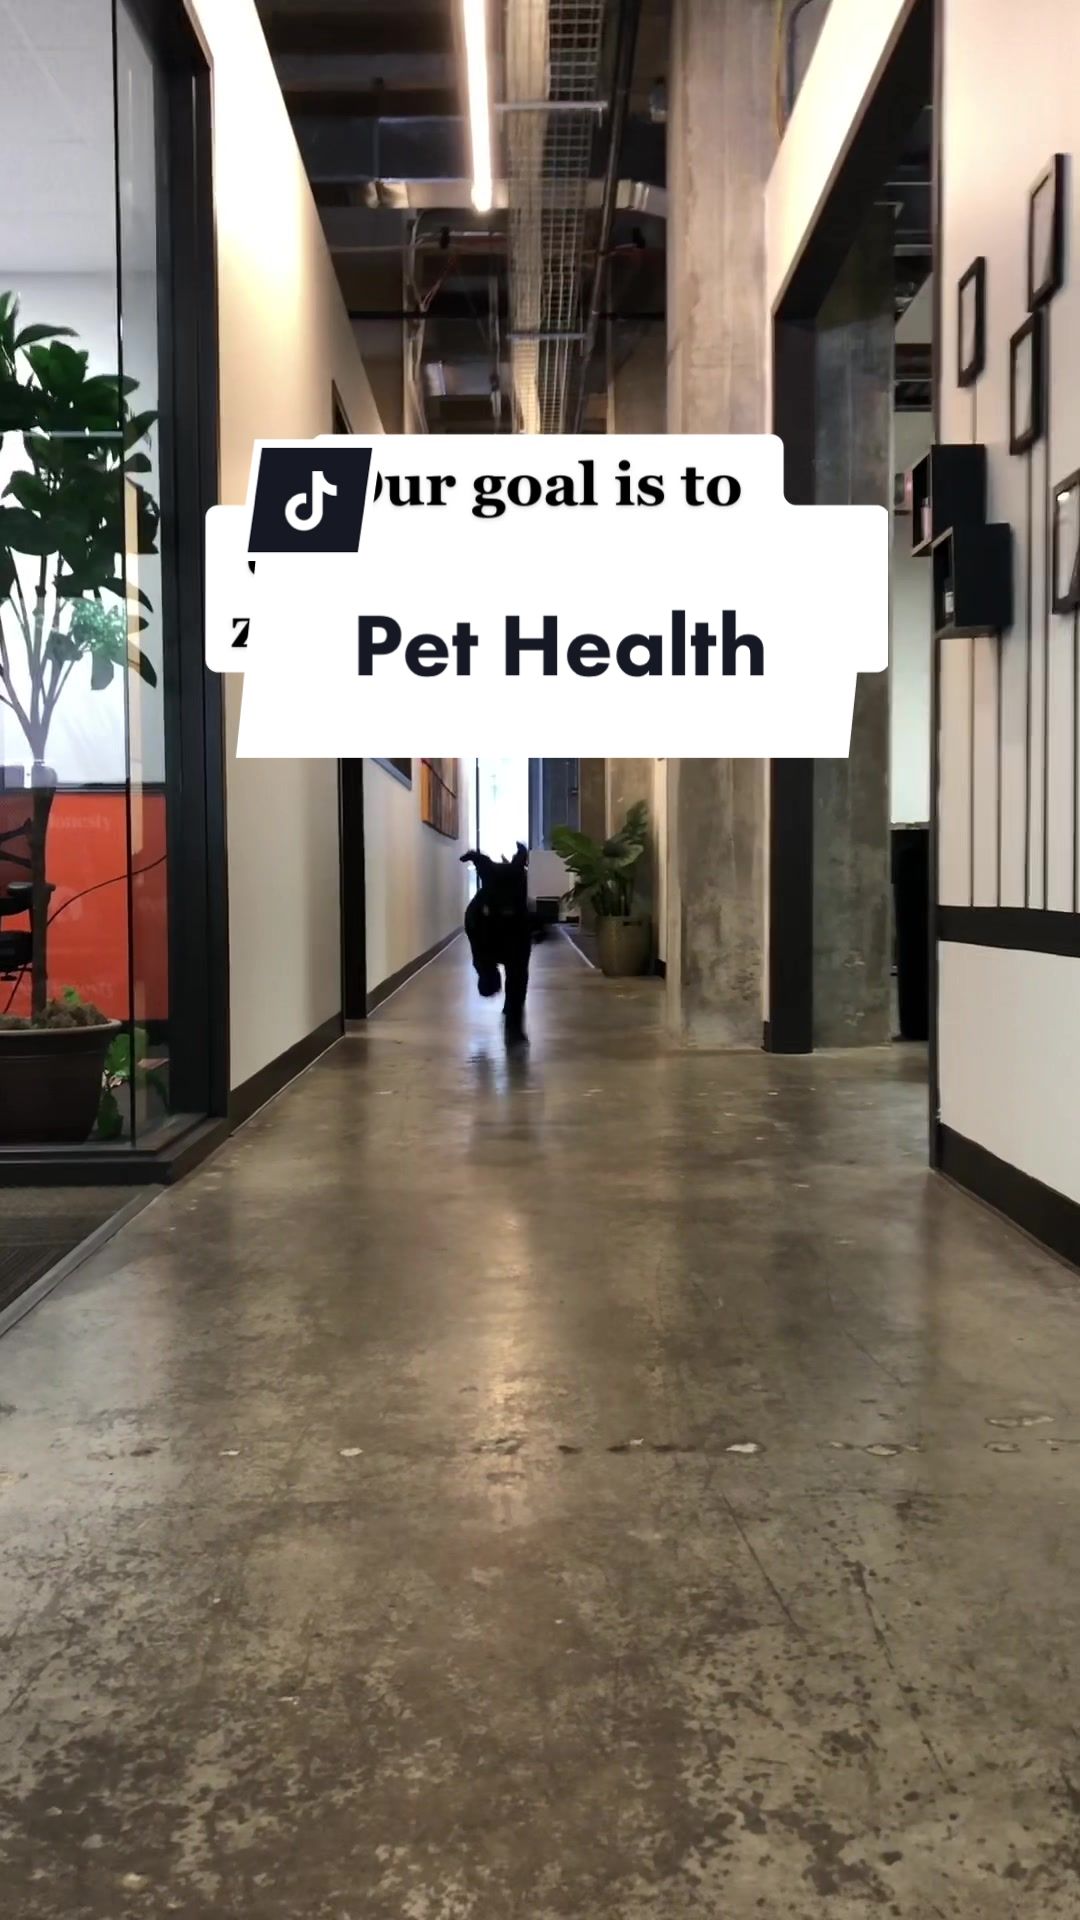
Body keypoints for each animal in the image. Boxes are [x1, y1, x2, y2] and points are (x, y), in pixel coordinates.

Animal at [461, 842, 547, 1047]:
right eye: (493, 884)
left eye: (520, 882)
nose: (508, 911)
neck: (501, 925)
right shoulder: (479, 951)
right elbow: (485, 967)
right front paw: (489, 986)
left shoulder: (518, 962)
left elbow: (515, 991)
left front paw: (515, 1031)